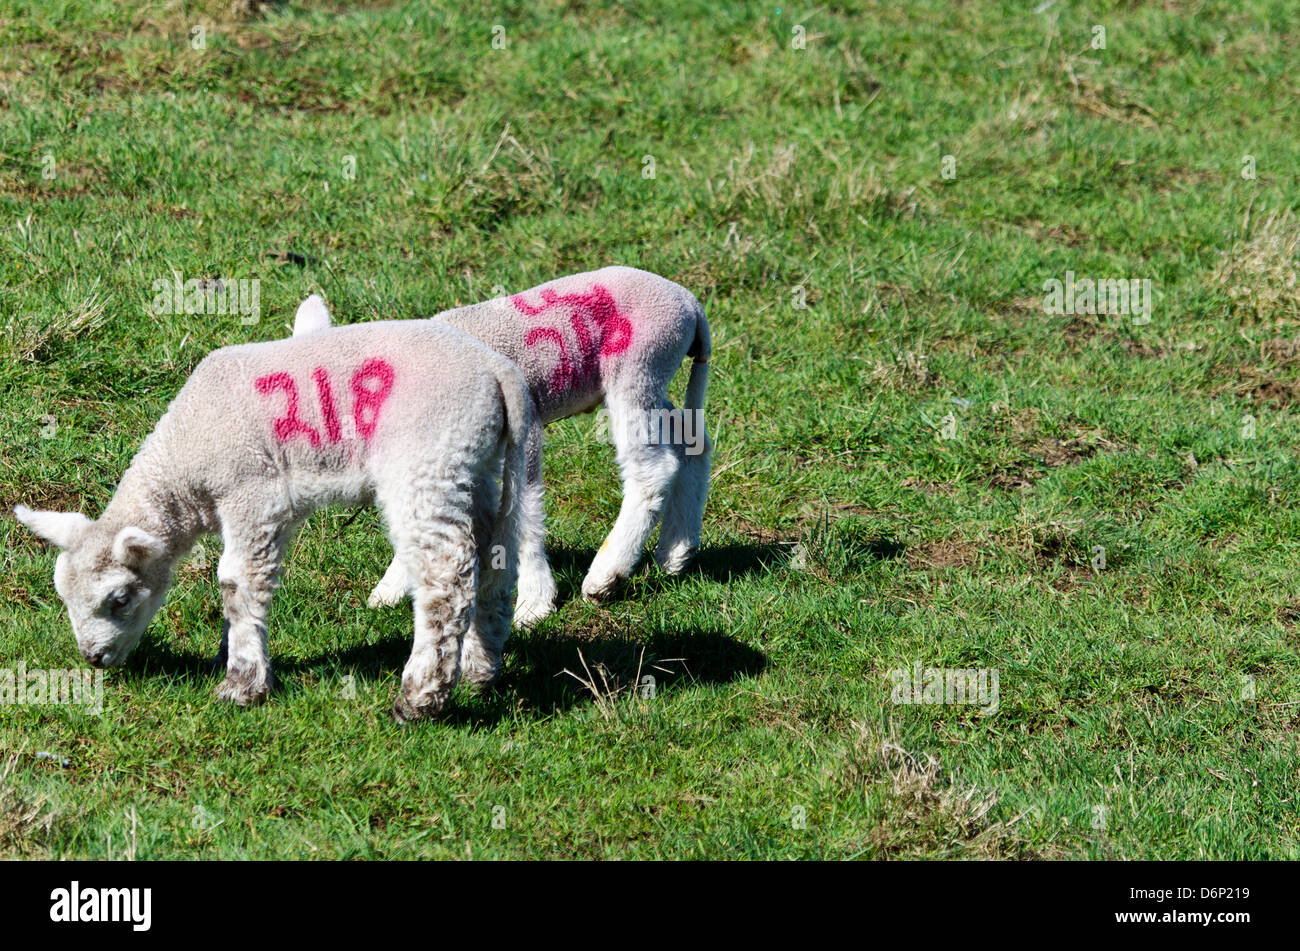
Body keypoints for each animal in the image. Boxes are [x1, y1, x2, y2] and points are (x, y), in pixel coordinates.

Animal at [15, 320, 532, 721]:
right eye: (63, 596)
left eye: (119, 599)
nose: (94, 658)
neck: (183, 463)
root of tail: (497, 370)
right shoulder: (266, 510)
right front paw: (227, 654)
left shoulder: (251, 492)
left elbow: (237, 582)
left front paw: (242, 685)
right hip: (473, 465)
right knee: (493, 561)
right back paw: (480, 670)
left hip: (427, 459)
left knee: (445, 577)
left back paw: (420, 698)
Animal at [293, 266, 712, 626]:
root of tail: (689, 303)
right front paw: (394, 587)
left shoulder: (522, 428)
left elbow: (523, 506)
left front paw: (534, 602)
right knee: (693, 442)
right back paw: (677, 551)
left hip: (638, 364)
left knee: (653, 468)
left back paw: (607, 576)